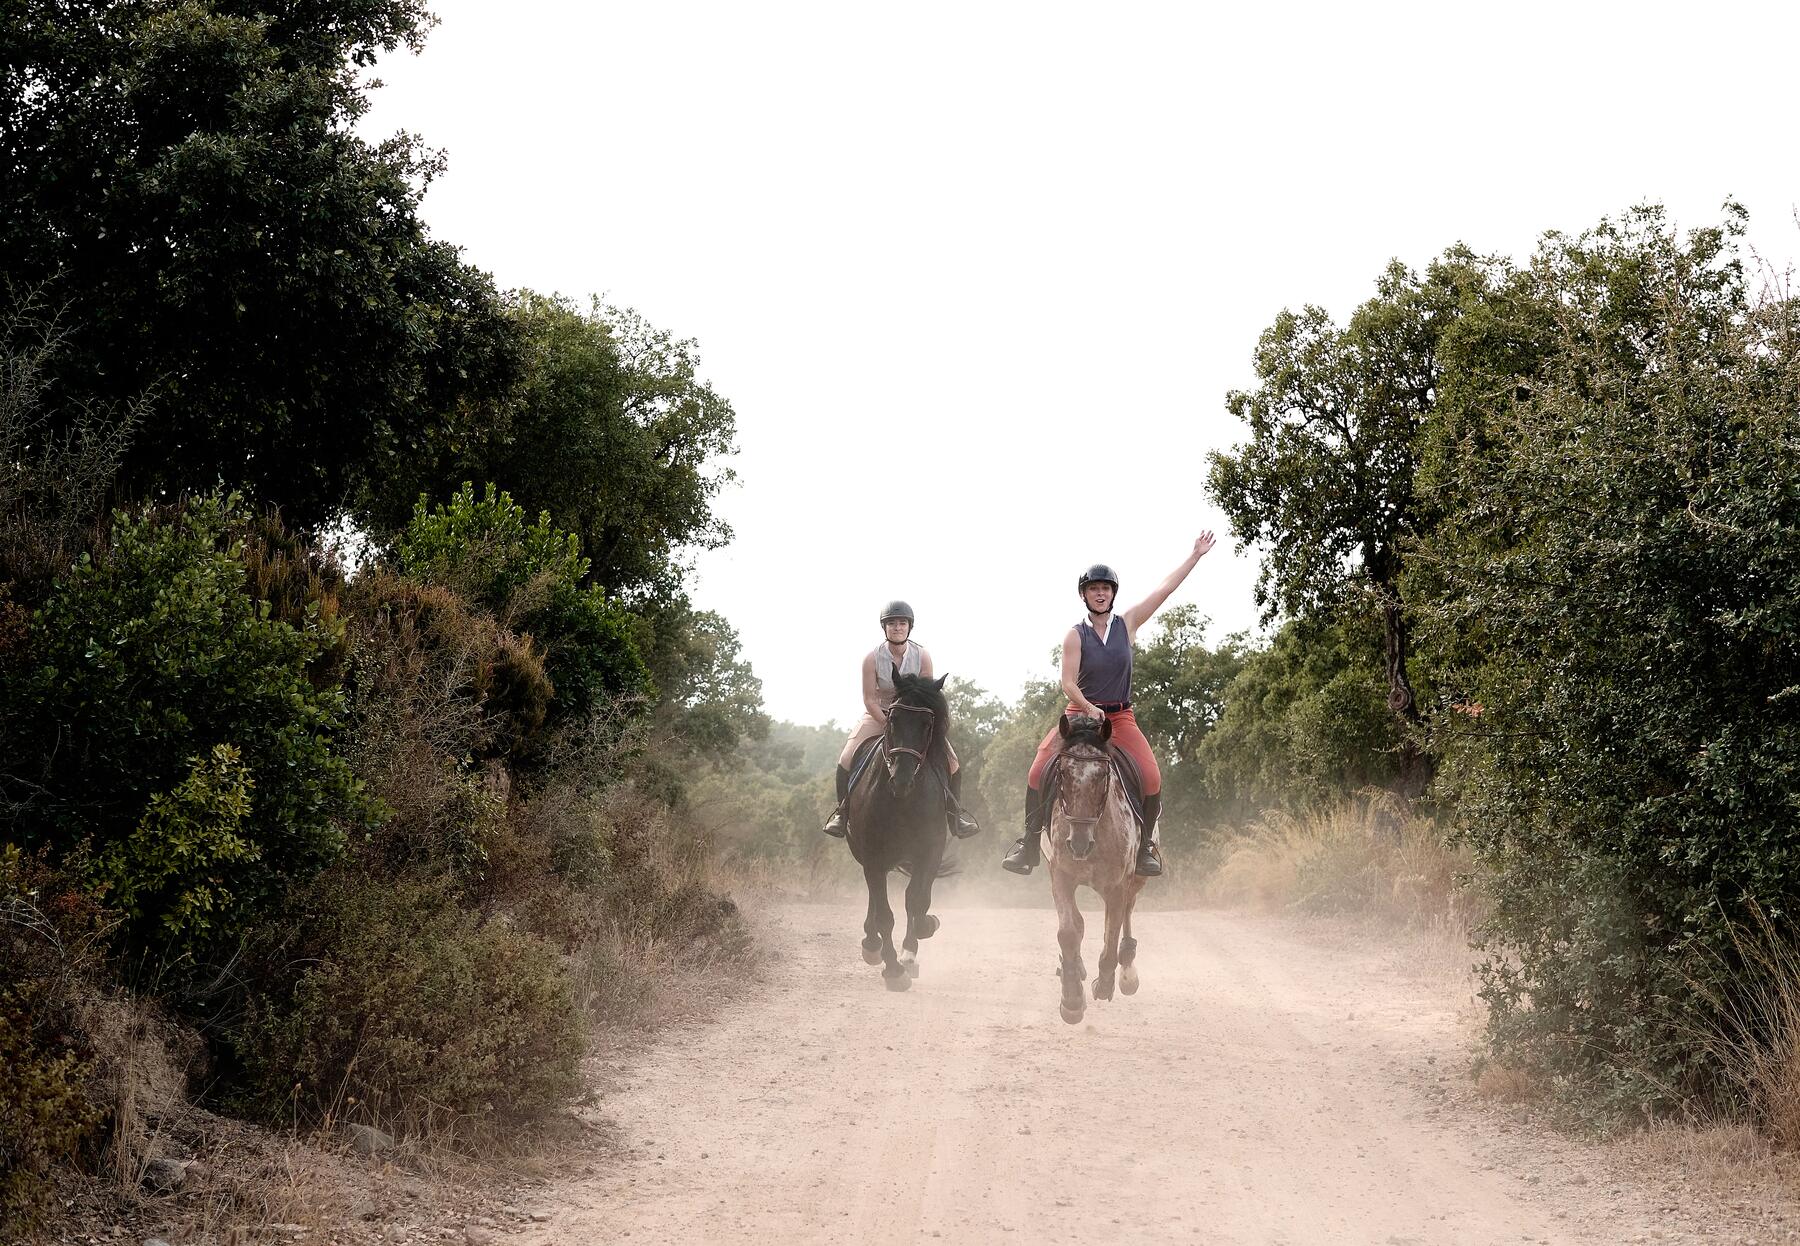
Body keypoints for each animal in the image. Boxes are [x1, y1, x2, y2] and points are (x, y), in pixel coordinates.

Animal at [846, 677, 957, 986]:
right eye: (893, 719)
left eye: (927, 724)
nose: (902, 780)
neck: (903, 801)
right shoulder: (873, 856)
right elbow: (886, 914)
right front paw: (893, 969)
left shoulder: (930, 852)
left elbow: (917, 901)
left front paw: (920, 935)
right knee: (876, 899)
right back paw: (872, 945)